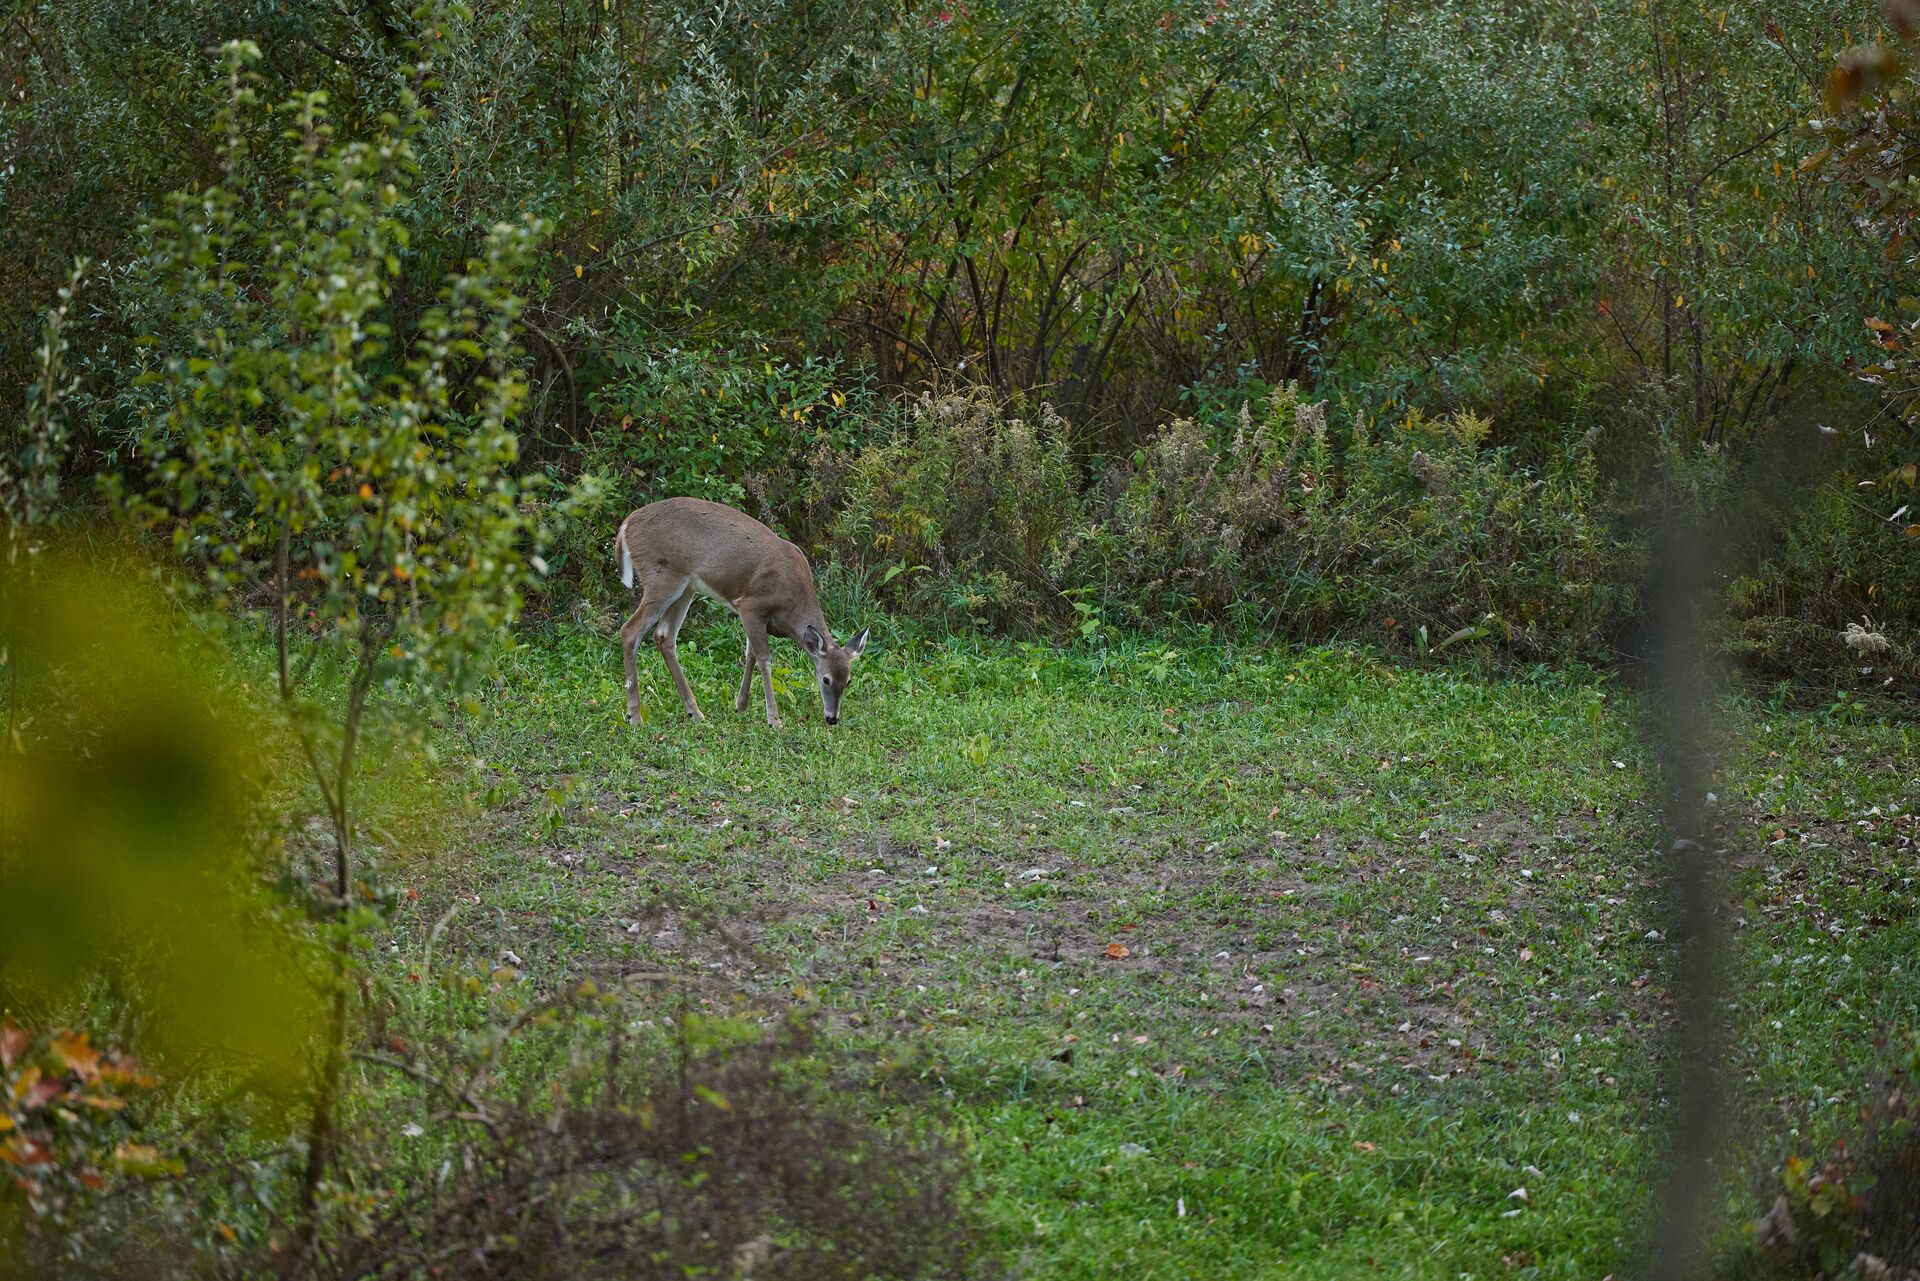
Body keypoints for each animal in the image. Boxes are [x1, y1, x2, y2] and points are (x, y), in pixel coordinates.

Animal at [615, 497, 869, 728]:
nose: (832, 718)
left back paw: (694, 712)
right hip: (662, 578)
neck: (791, 603)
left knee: (664, 636)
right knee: (630, 631)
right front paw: (774, 720)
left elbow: (750, 656)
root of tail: (626, 525)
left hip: (686, 588)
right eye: (825, 679)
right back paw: (635, 716)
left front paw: (741, 706)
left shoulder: (758, 617)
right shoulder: (750, 605)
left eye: (848, 681)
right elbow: (764, 659)